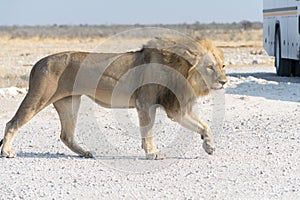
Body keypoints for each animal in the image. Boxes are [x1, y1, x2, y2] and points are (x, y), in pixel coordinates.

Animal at [0, 37, 225, 159]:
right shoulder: (146, 104)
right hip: (39, 97)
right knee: (12, 123)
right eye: (210, 67)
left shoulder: (176, 108)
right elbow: (149, 132)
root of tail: (38, 62)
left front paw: (209, 146)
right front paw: (152, 153)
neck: (182, 70)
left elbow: (204, 126)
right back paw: (7, 151)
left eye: (222, 66)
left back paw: (85, 153)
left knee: (66, 135)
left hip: (69, 102)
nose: (224, 81)